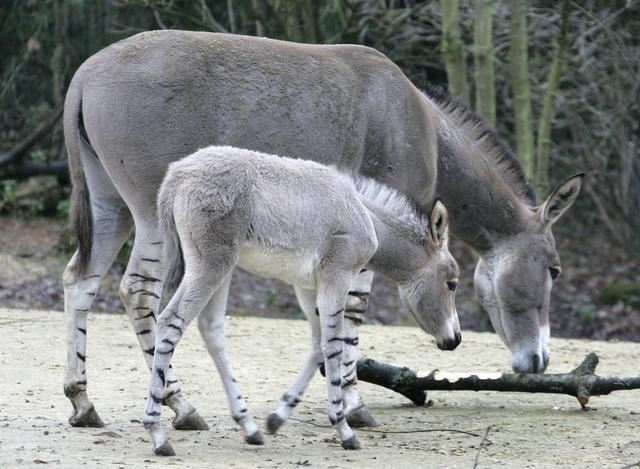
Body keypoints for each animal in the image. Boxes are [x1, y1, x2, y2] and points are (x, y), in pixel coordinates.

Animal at [142, 146, 458, 454]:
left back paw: (249, 426)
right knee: (170, 322)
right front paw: (344, 429)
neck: (364, 215)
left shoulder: (307, 287)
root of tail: (178, 174)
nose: (454, 340)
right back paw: (158, 434)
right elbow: (333, 345)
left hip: (222, 269)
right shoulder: (337, 276)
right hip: (210, 266)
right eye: (452, 283)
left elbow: (318, 346)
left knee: (211, 330)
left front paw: (277, 418)